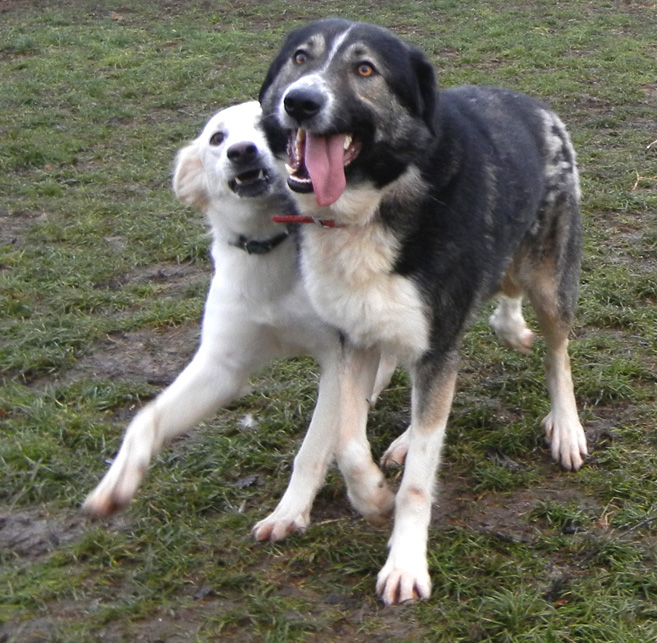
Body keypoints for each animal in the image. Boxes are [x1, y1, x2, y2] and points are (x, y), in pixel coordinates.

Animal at [83, 101, 395, 538]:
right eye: (218, 138)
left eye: (267, 126)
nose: (242, 151)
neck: (270, 249)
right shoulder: (221, 367)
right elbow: (145, 419)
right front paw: (113, 487)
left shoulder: (336, 361)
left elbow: (311, 450)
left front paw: (288, 512)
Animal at [259, 19, 587, 605]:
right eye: (300, 58)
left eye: (365, 69)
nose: (300, 102)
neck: (373, 206)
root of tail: (534, 105)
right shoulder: (353, 339)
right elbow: (347, 439)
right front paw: (370, 494)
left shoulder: (435, 344)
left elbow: (416, 484)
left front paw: (405, 564)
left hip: (551, 282)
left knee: (557, 353)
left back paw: (566, 426)